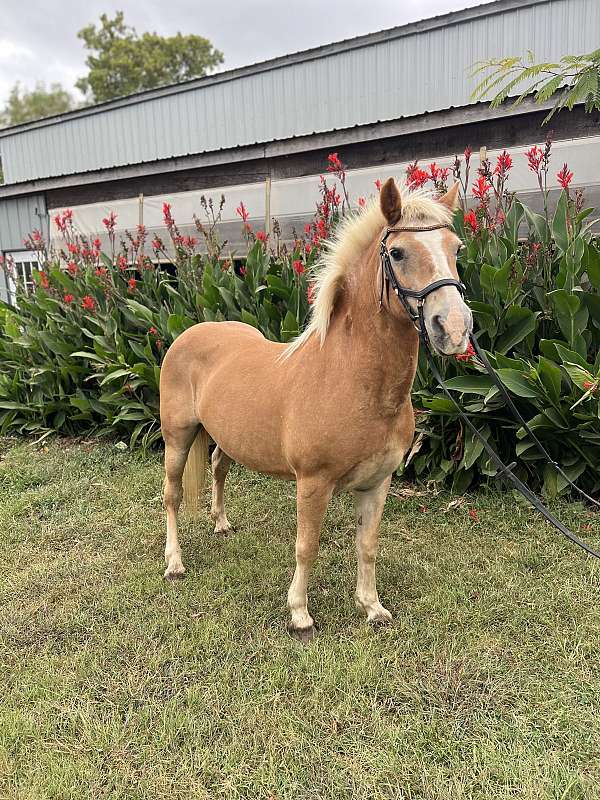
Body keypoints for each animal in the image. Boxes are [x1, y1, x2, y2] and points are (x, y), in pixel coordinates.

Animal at [159, 178, 474, 640]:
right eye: (398, 253)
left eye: (455, 248)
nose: (452, 328)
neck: (349, 379)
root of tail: (190, 333)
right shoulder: (312, 483)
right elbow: (306, 546)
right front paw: (300, 614)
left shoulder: (377, 483)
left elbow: (367, 545)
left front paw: (372, 607)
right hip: (177, 439)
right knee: (173, 495)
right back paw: (175, 564)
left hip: (224, 438)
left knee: (218, 467)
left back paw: (221, 523)